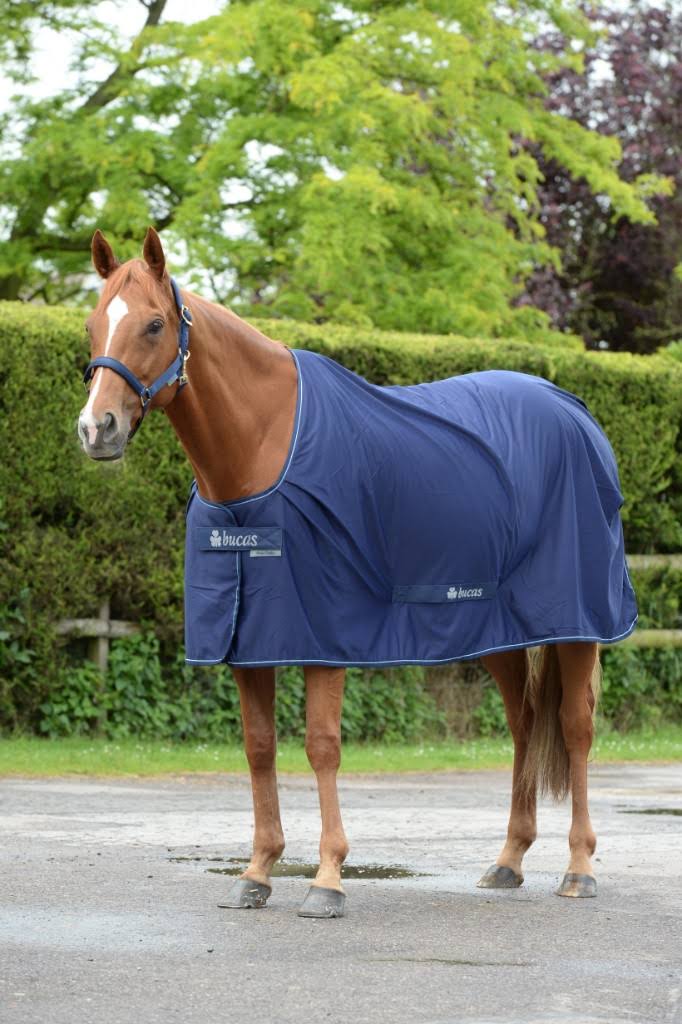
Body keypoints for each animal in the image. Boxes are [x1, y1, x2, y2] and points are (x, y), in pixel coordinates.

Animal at [78, 227, 637, 918]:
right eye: (91, 325)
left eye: (154, 324)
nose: (96, 429)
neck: (262, 451)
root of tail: (573, 409)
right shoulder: (249, 642)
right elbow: (259, 748)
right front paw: (257, 872)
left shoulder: (325, 636)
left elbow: (322, 747)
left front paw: (327, 879)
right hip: (500, 631)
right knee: (525, 726)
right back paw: (507, 861)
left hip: (578, 624)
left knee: (575, 728)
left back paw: (579, 868)